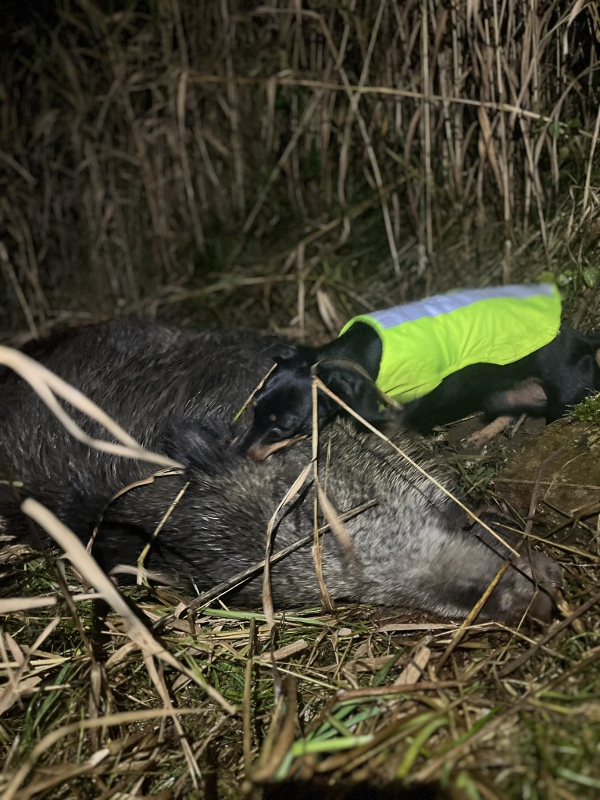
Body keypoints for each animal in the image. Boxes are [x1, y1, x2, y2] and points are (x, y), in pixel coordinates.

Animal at [237, 284, 600, 458]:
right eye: (253, 407)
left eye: (285, 426)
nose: (237, 451)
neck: (357, 353)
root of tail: (583, 339)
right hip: (502, 392)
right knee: (509, 412)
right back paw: (482, 434)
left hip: (565, 399)